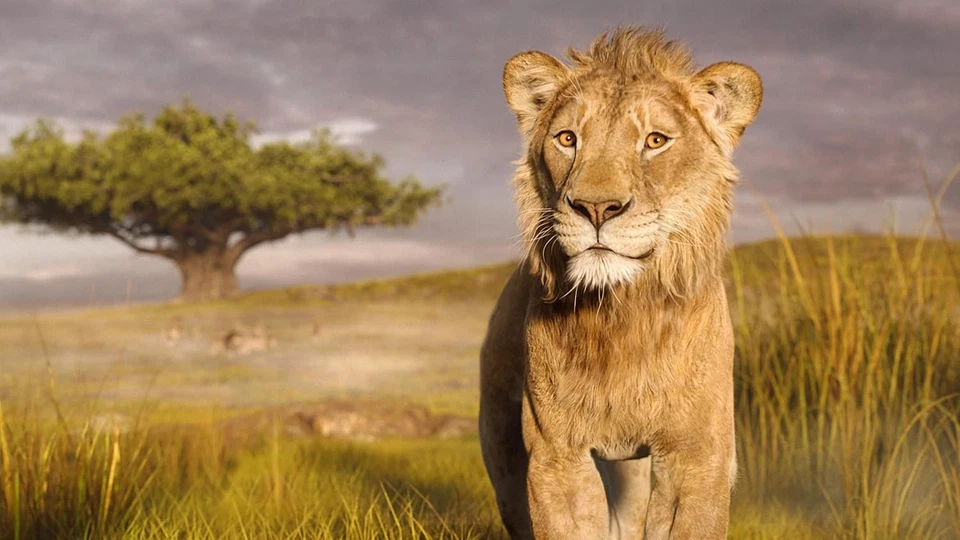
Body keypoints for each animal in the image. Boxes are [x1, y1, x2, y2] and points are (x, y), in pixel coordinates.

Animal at [479, 27, 762, 539]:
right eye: (567, 138)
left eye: (655, 140)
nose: (595, 208)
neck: (621, 316)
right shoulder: (557, 455)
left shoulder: (697, 456)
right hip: (503, 451)